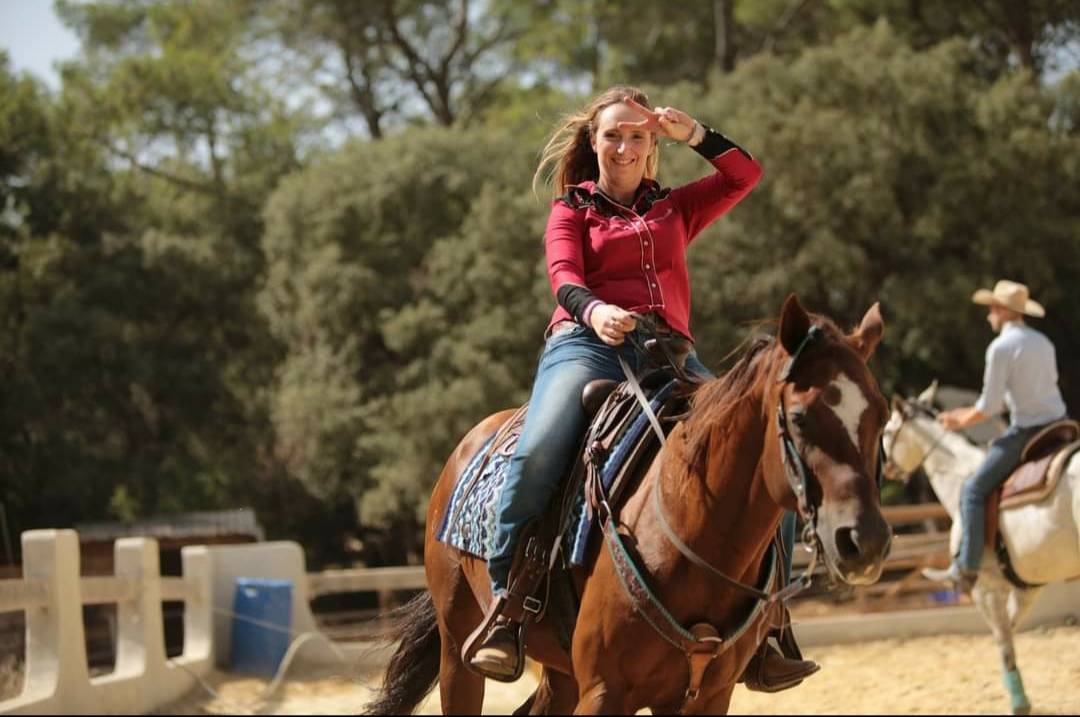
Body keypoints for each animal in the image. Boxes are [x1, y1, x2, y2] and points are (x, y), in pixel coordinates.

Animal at [364, 295, 892, 715]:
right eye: (799, 417)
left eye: (883, 414)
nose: (864, 541)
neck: (690, 533)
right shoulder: (605, 690)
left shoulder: (707, 696)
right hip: (459, 648)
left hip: (560, 674)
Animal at [883, 382, 1080, 715]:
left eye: (885, 432)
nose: (887, 471)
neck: (959, 478)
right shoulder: (1027, 588)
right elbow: (1010, 630)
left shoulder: (986, 589)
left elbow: (1003, 641)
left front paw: (1019, 702)